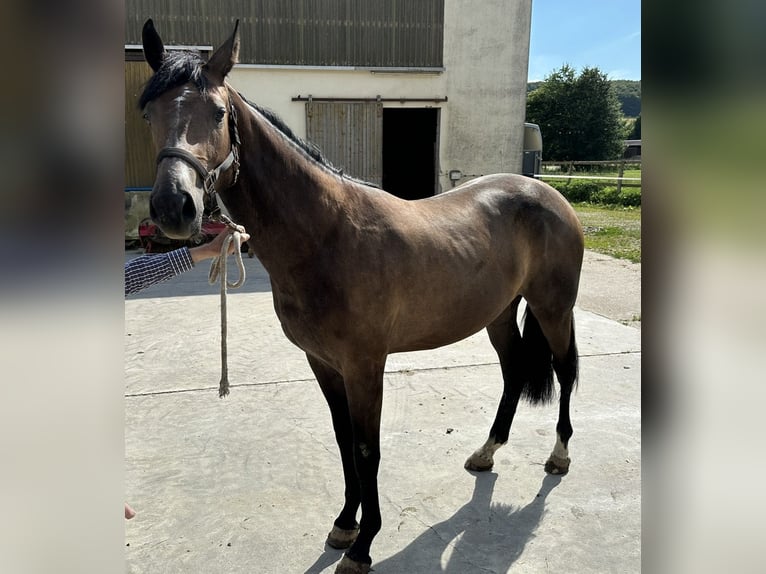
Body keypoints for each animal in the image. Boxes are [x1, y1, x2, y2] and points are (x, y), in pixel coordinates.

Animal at [140, 19, 584, 574]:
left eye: (218, 113)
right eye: (149, 112)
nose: (174, 207)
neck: (326, 235)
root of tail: (548, 194)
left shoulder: (365, 365)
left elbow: (367, 449)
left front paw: (363, 543)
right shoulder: (323, 362)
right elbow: (343, 441)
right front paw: (344, 524)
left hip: (553, 308)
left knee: (564, 370)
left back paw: (560, 456)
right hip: (499, 313)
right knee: (513, 371)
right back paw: (486, 452)